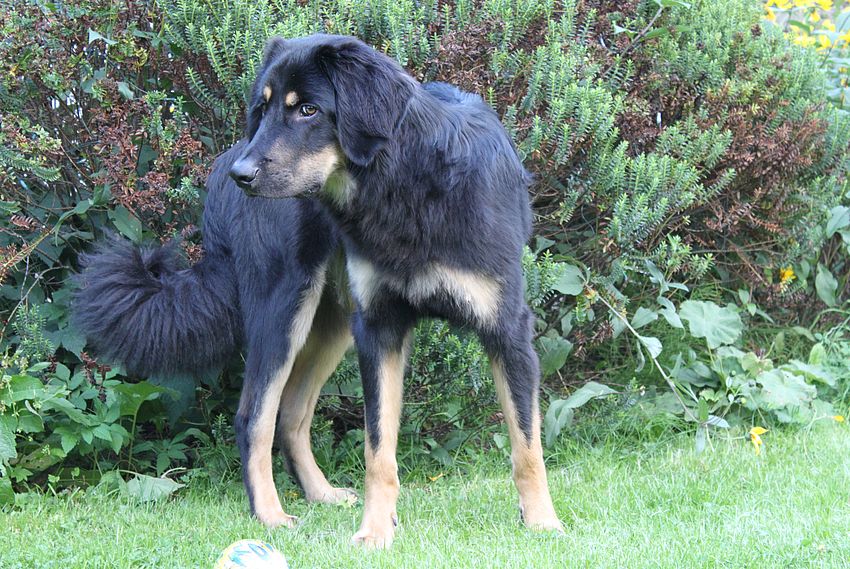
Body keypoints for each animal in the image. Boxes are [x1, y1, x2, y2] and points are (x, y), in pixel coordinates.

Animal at [74, 34, 562, 548]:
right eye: (264, 108)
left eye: (307, 110)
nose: (243, 176)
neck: (406, 184)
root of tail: (225, 161)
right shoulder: (379, 330)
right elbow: (378, 450)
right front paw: (375, 531)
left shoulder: (505, 329)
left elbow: (527, 444)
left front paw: (542, 523)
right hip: (284, 308)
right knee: (254, 417)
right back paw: (269, 516)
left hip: (332, 321)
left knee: (290, 413)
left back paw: (319, 494)